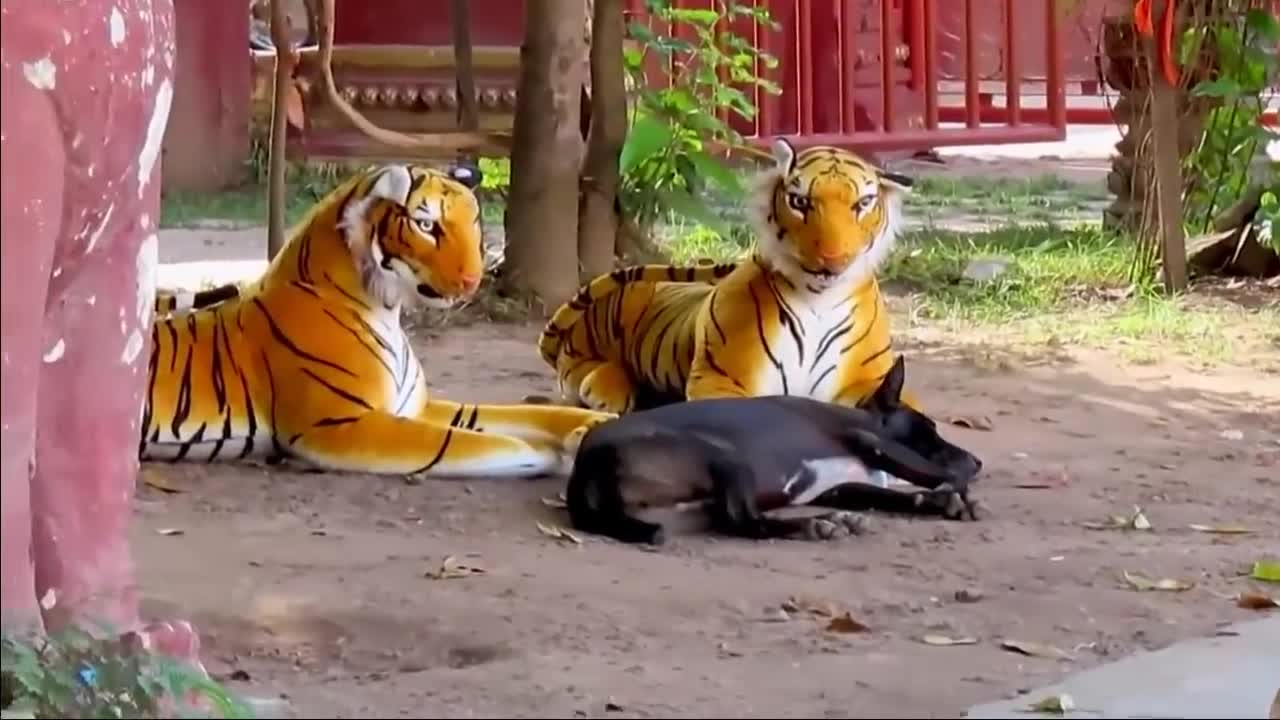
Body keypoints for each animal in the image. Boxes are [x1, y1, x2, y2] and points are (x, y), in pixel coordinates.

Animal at [140, 162, 615, 478]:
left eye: (475, 222)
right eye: (427, 225)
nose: (472, 279)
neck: (385, 309)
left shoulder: (413, 406)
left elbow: (519, 412)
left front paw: (589, 424)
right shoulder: (341, 425)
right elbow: (478, 443)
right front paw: (553, 451)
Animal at [536, 137, 920, 415]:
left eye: (863, 204)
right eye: (799, 201)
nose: (833, 260)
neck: (819, 299)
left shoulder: (870, 380)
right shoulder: (721, 379)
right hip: (614, 312)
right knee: (575, 365)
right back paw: (604, 388)